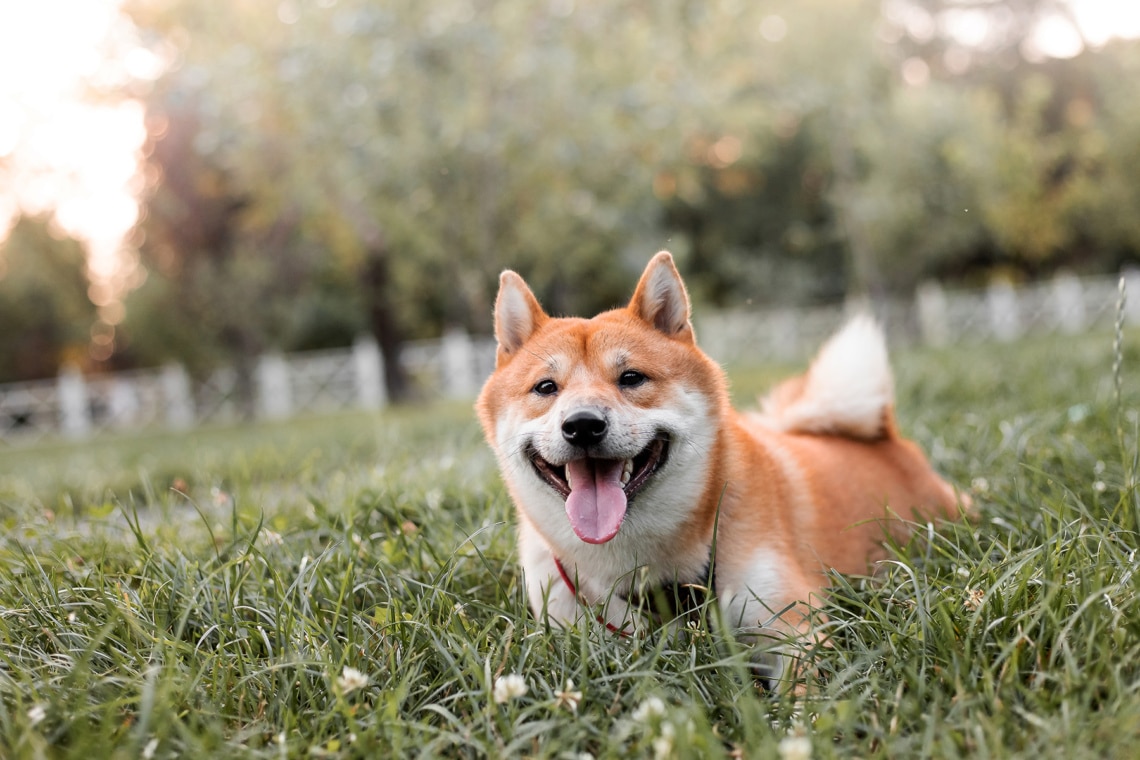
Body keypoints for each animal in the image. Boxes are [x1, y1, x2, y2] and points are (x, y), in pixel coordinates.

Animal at [476, 252, 966, 674]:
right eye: (545, 387)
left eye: (631, 378)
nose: (582, 425)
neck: (638, 569)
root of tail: (885, 437)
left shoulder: (793, 631)